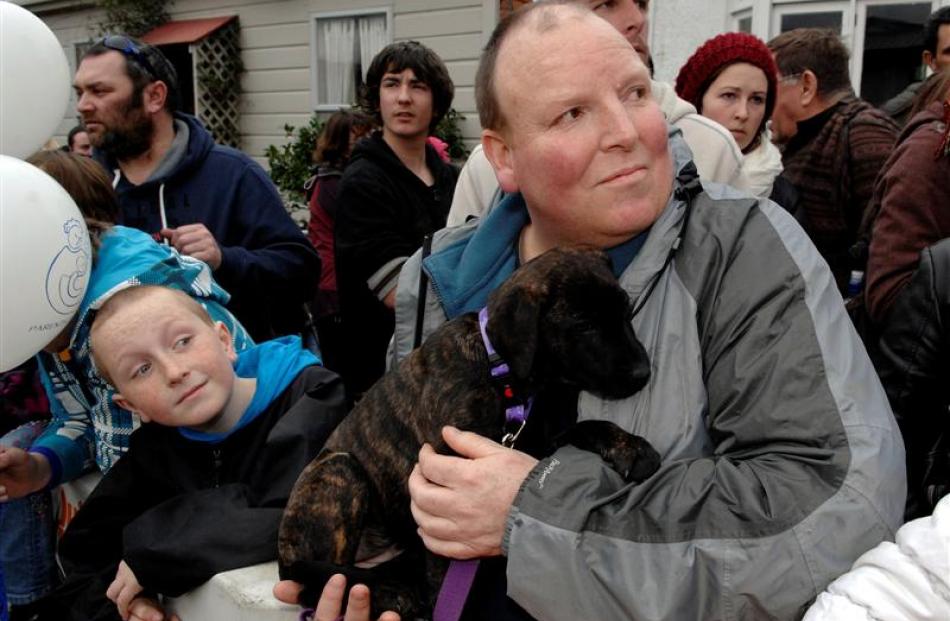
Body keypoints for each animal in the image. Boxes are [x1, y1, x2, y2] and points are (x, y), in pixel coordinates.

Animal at [278, 247, 660, 616]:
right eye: (582, 324)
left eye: (627, 311)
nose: (643, 373)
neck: (502, 372)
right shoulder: (443, 476)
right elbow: (443, 564)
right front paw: (440, 601)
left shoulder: (538, 441)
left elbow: (587, 426)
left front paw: (630, 446)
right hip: (338, 469)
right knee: (317, 583)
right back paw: (390, 596)